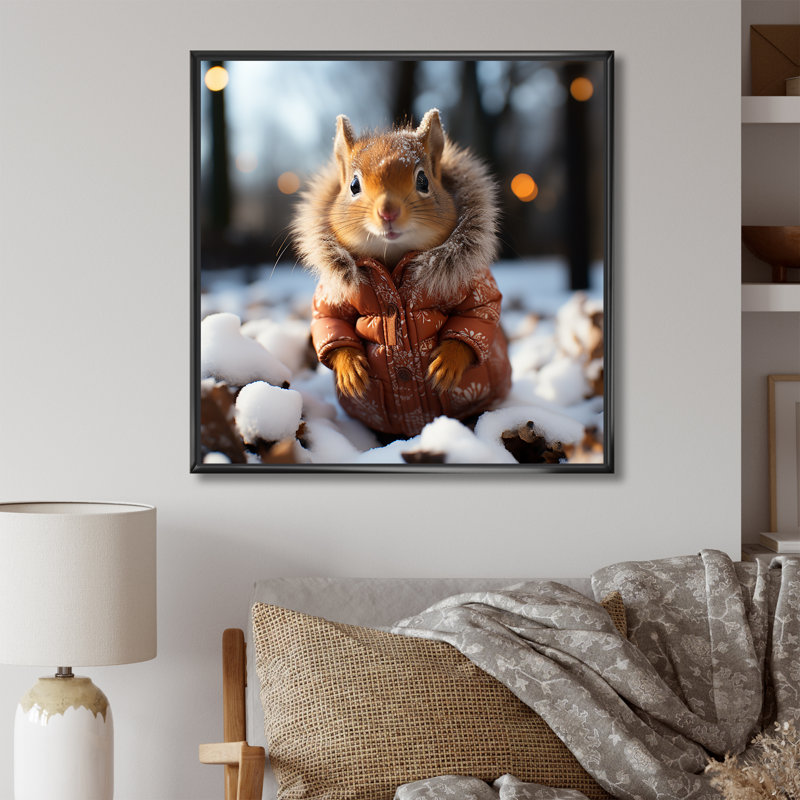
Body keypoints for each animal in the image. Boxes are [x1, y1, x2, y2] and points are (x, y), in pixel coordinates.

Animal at [293, 109, 511, 438]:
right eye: (354, 185)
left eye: (423, 180)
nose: (388, 212)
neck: (394, 260)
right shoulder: (333, 293)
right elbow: (329, 321)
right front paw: (349, 368)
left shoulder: (474, 281)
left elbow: (478, 312)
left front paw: (448, 361)